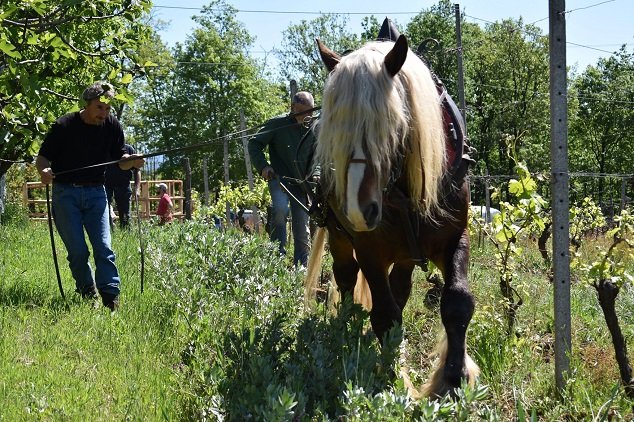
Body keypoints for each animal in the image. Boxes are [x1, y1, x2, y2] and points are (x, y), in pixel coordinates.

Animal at [306, 32, 478, 396]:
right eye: (334, 128)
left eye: (392, 123)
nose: (357, 210)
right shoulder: (370, 248)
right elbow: (384, 316)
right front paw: (395, 376)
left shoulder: (455, 237)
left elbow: (457, 302)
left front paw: (453, 379)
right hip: (341, 239)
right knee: (346, 277)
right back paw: (347, 325)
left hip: (405, 254)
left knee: (399, 287)